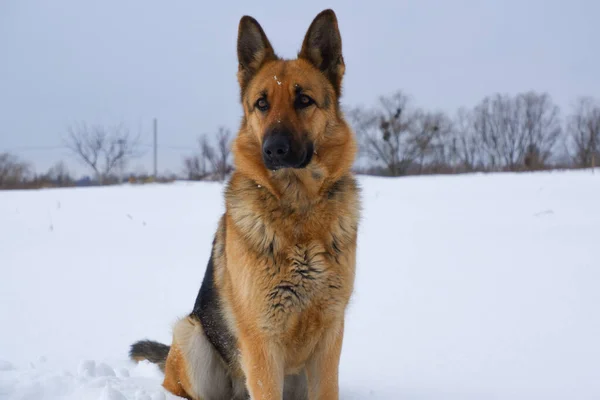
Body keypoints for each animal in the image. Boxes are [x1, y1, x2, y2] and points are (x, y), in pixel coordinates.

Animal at [129, 9, 358, 400]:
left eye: (304, 100)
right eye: (262, 104)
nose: (274, 149)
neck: (298, 212)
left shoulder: (330, 338)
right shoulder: (261, 342)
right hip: (191, 335)